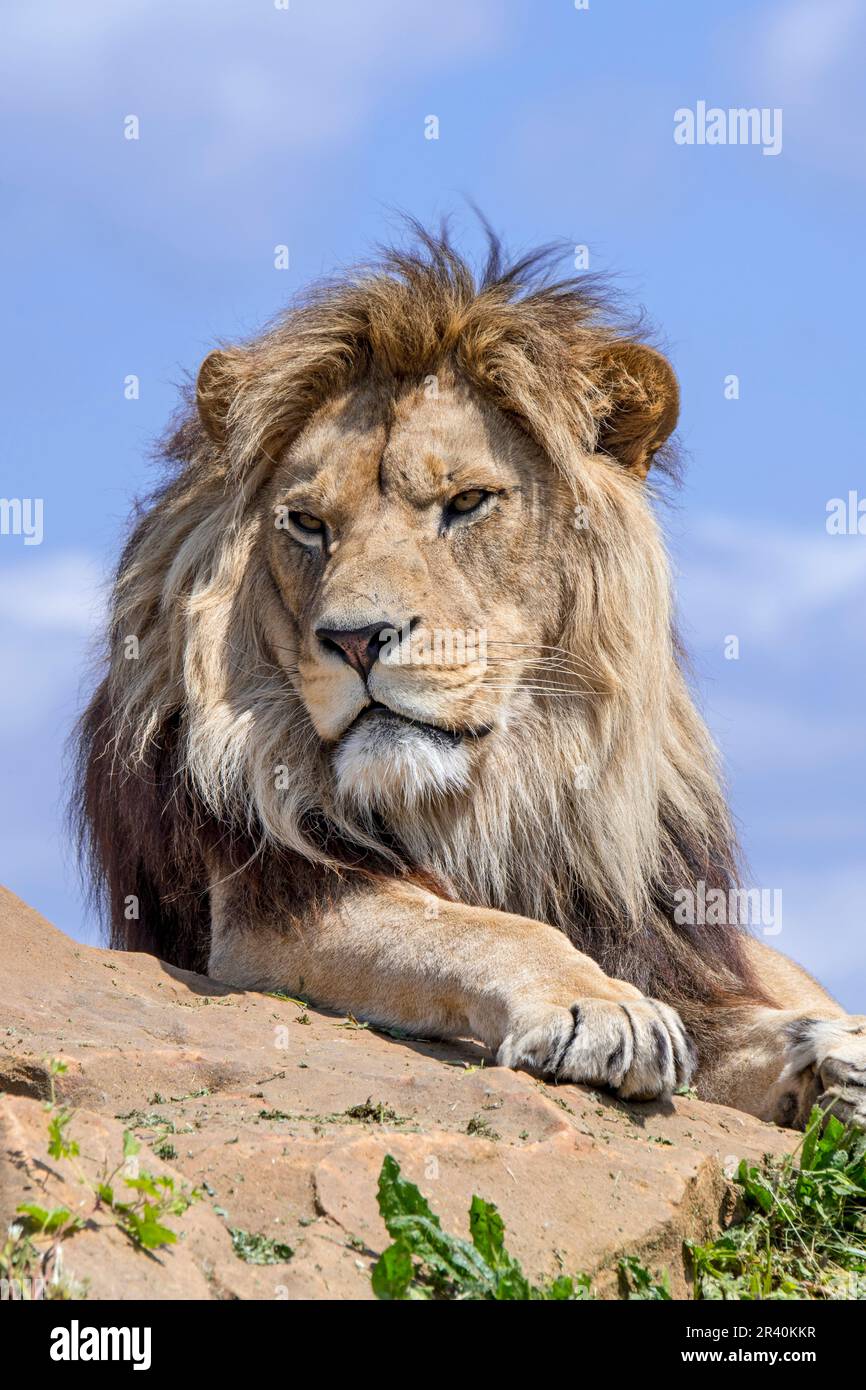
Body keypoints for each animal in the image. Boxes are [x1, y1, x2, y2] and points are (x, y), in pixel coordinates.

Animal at [75, 226, 866, 1130]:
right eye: (307, 523)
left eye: (466, 503)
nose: (355, 640)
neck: (491, 801)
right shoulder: (265, 913)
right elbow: (482, 928)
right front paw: (599, 1008)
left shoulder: (676, 955)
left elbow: (742, 1025)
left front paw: (825, 1057)